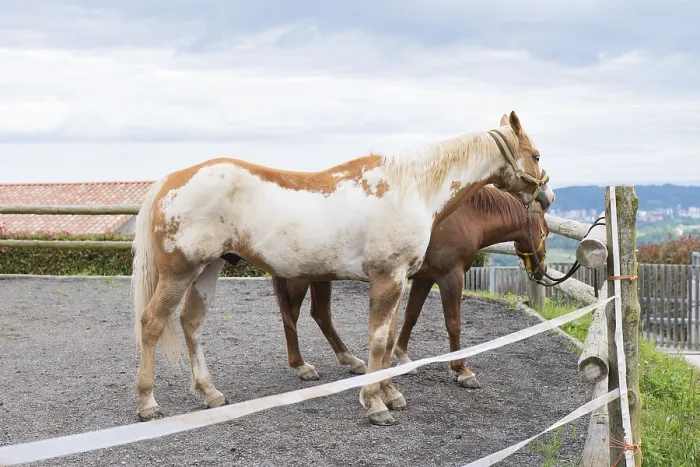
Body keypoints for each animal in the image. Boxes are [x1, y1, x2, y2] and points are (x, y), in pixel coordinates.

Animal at [270, 185, 551, 392]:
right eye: (546, 231)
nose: (540, 270)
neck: (463, 216)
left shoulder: (425, 277)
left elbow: (411, 315)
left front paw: (402, 356)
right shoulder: (450, 277)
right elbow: (453, 323)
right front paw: (462, 370)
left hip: (319, 277)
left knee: (320, 314)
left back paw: (350, 360)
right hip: (300, 278)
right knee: (291, 315)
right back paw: (301, 365)